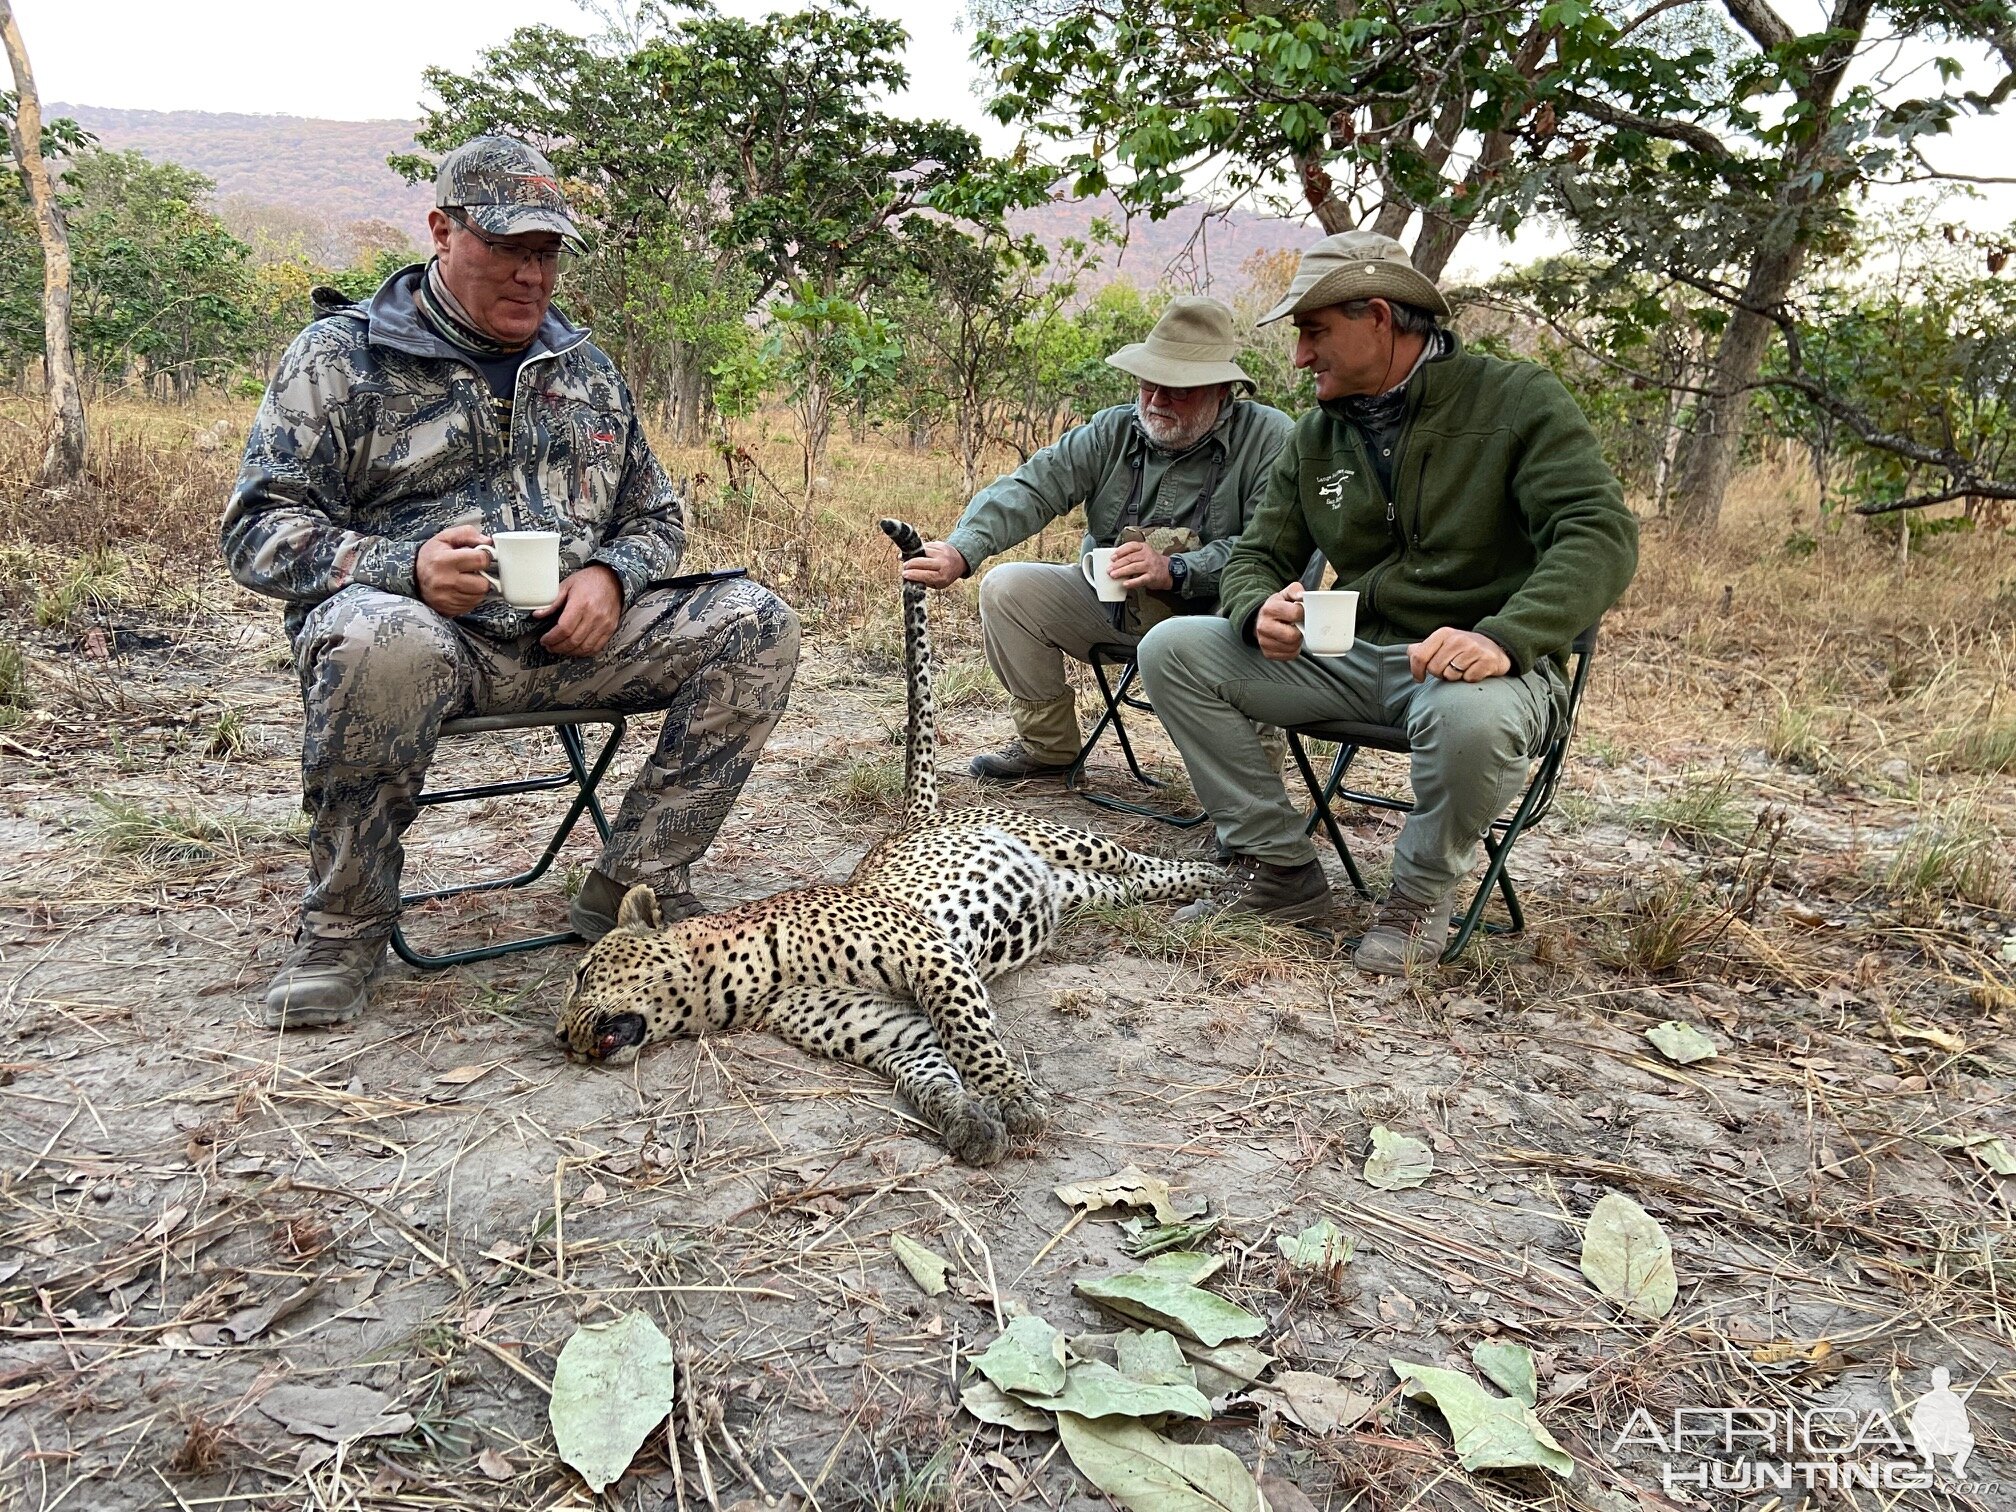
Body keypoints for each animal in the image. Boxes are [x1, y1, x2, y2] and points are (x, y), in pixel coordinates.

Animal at [552, 516, 1217, 1169]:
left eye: (583, 973)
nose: (560, 1039)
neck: (738, 986)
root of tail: (913, 816)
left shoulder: (933, 958)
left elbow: (969, 1036)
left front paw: (1011, 1098)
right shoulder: (882, 1023)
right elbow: (926, 1068)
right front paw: (968, 1122)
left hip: (1061, 836)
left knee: (1138, 859)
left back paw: (1217, 875)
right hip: (1073, 889)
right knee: (1130, 884)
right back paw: (1202, 894)